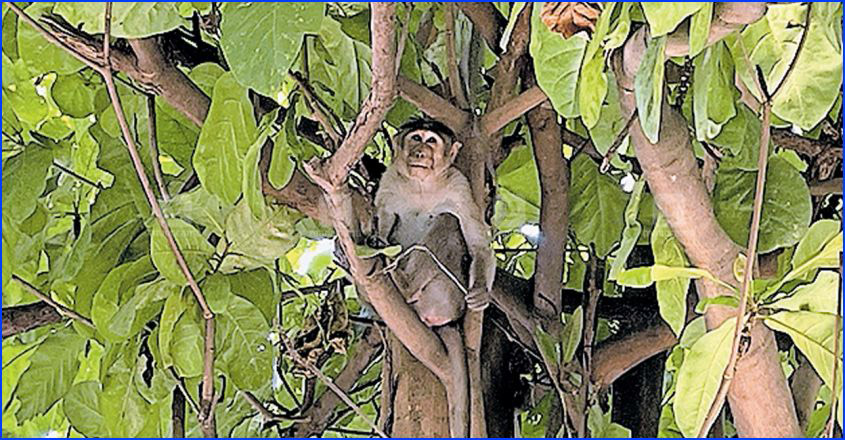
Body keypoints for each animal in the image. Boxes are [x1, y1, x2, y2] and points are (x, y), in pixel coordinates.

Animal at [371, 118, 496, 437]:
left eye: (431, 141)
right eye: (416, 138)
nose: (420, 153)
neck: (422, 184)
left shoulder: (460, 186)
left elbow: (477, 241)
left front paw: (481, 292)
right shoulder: (389, 181)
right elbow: (385, 220)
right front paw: (377, 239)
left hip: (447, 295)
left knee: (448, 221)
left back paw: (406, 286)